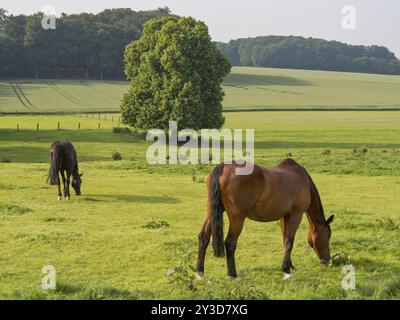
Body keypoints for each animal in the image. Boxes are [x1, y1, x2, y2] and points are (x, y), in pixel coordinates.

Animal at [195, 159, 332, 280]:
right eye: (328, 235)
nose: (327, 260)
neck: (303, 180)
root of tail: (223, 167)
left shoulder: (284, 217)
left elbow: (285, 241)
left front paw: (289, 265)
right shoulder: (295, 215)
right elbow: (289, 241)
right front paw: (286, 271)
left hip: (211, 212)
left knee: (203, 237)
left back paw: (200, 272)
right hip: (237, 218)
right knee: (230, 242)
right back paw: (233, 274)